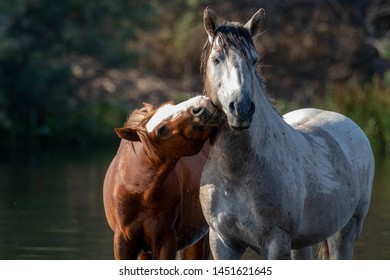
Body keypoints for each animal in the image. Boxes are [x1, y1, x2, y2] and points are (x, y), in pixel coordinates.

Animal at [102, 96, 221, 260]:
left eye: (171, 104)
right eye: (161, 130)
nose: (201, 103)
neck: (138, 188)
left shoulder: (166, 240)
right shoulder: (122, 241)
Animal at [200, 7, 374, 260]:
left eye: (254, 59)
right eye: (217, 59)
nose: (242, 108)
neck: (235, 172)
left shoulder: (277, 242)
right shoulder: (222, 241)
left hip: (346, 232)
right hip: (302, 243)